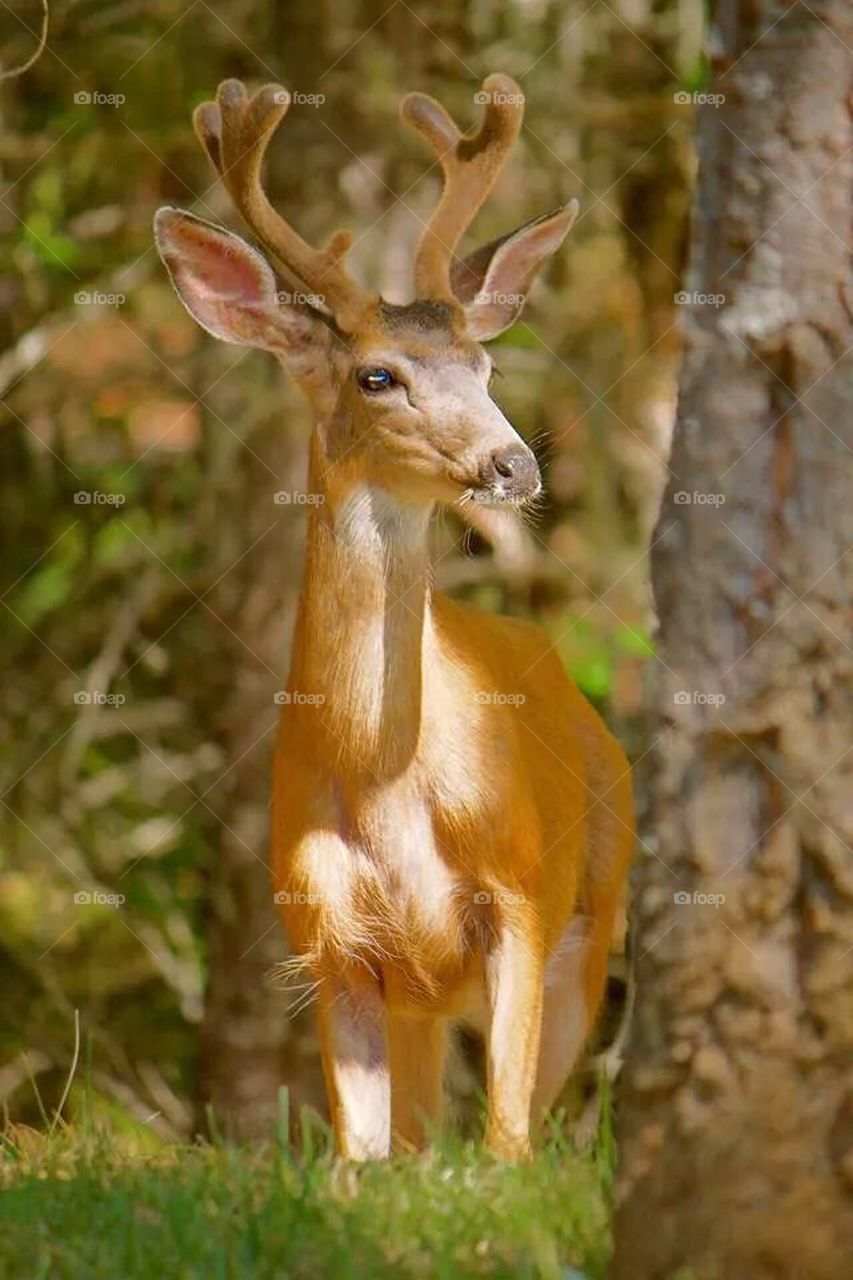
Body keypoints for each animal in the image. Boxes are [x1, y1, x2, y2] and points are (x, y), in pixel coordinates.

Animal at [154, 72, 635, 1162]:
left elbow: (505, 1141)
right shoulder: (330, 939)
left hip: (597, 914)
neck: (383, 781)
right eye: (378, 375)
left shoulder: (519, 892)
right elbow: (356, 1161)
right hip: (421, 1003)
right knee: (415, 1136)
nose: (515, 464)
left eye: (486, 366)